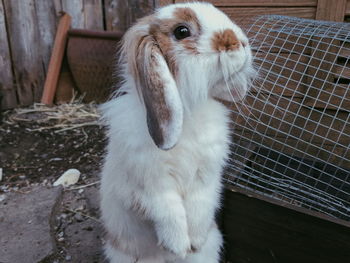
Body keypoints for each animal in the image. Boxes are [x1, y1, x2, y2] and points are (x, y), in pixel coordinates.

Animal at [100, 1, 256, 262]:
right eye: (181, 31)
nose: (240, 42)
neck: (187, 112)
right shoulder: (151, 185)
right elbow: (168, 211)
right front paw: (178, 246)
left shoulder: (206, 176)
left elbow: (200, 206)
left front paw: (195, 243)